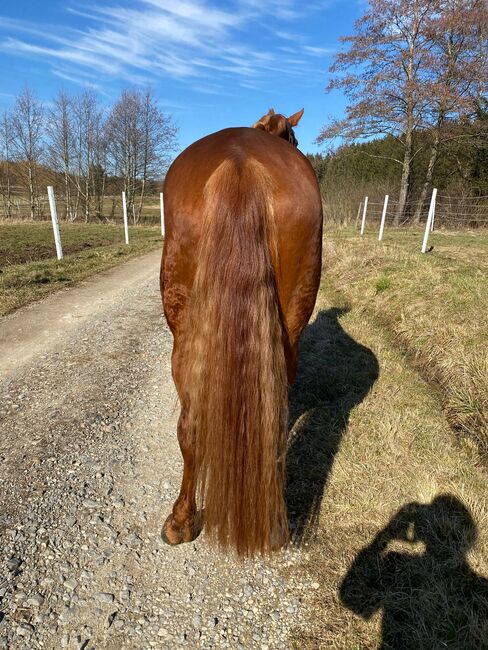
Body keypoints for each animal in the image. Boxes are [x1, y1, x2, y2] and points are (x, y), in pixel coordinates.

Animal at [160, 109, 324, 556]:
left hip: (184, 336)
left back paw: (181, 521)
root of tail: (240, 163)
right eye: (295, 138)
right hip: (287, 334)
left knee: (191, 424)